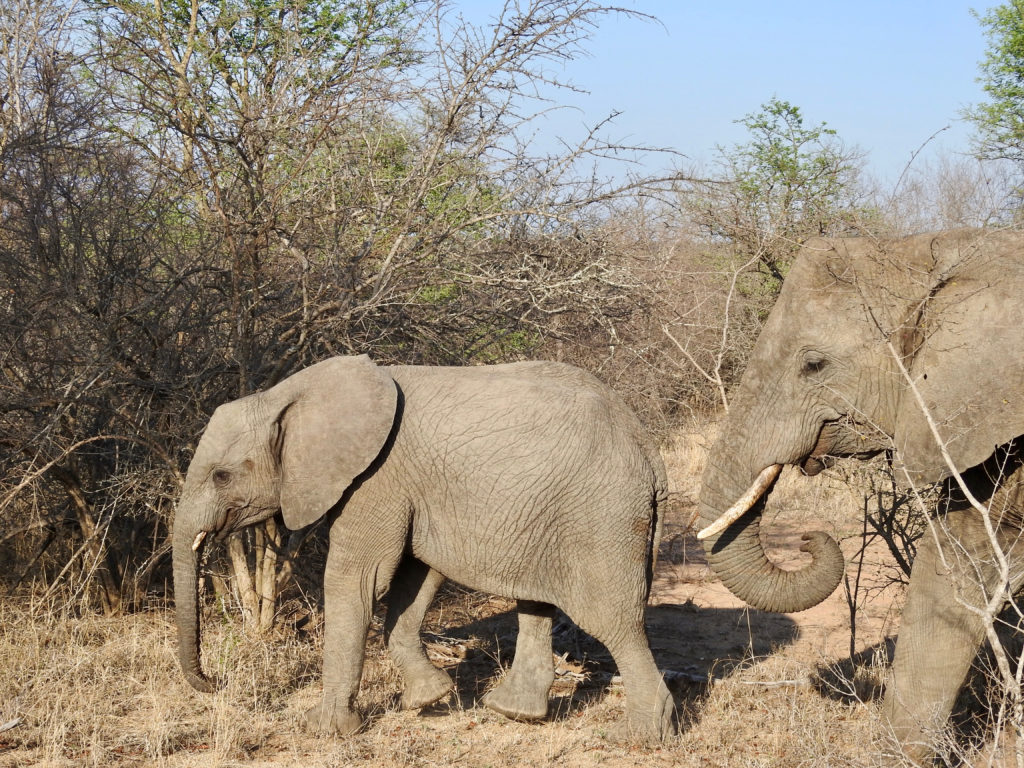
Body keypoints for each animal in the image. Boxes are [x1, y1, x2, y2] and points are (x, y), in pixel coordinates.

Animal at [172, 355, 675, 740]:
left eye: (222, 476)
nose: (214, 682)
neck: (287, 395)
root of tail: (648, 450)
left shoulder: (375, 479)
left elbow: (359, 581)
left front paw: (324, 729)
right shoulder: (411, 490)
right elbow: (415, 577)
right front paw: (429, 698)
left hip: (602, 517)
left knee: (615, 623)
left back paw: (639, 737)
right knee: (537, 602)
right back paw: (514, 713)